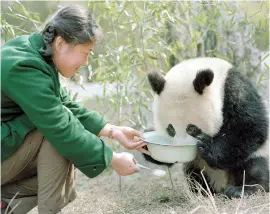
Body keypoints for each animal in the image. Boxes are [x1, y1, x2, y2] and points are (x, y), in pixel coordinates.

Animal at [143, 57, 268, 199]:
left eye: (191, 128)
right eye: (171, 129)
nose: (180, 148)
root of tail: (222, 185)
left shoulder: (233, 89)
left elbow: (249, 126)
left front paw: (207, 146)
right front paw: (145, 144)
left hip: (256, 154)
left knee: (253, 166)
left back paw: (244, 189)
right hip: (198, 166)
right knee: (194, 174)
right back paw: (203, 191)